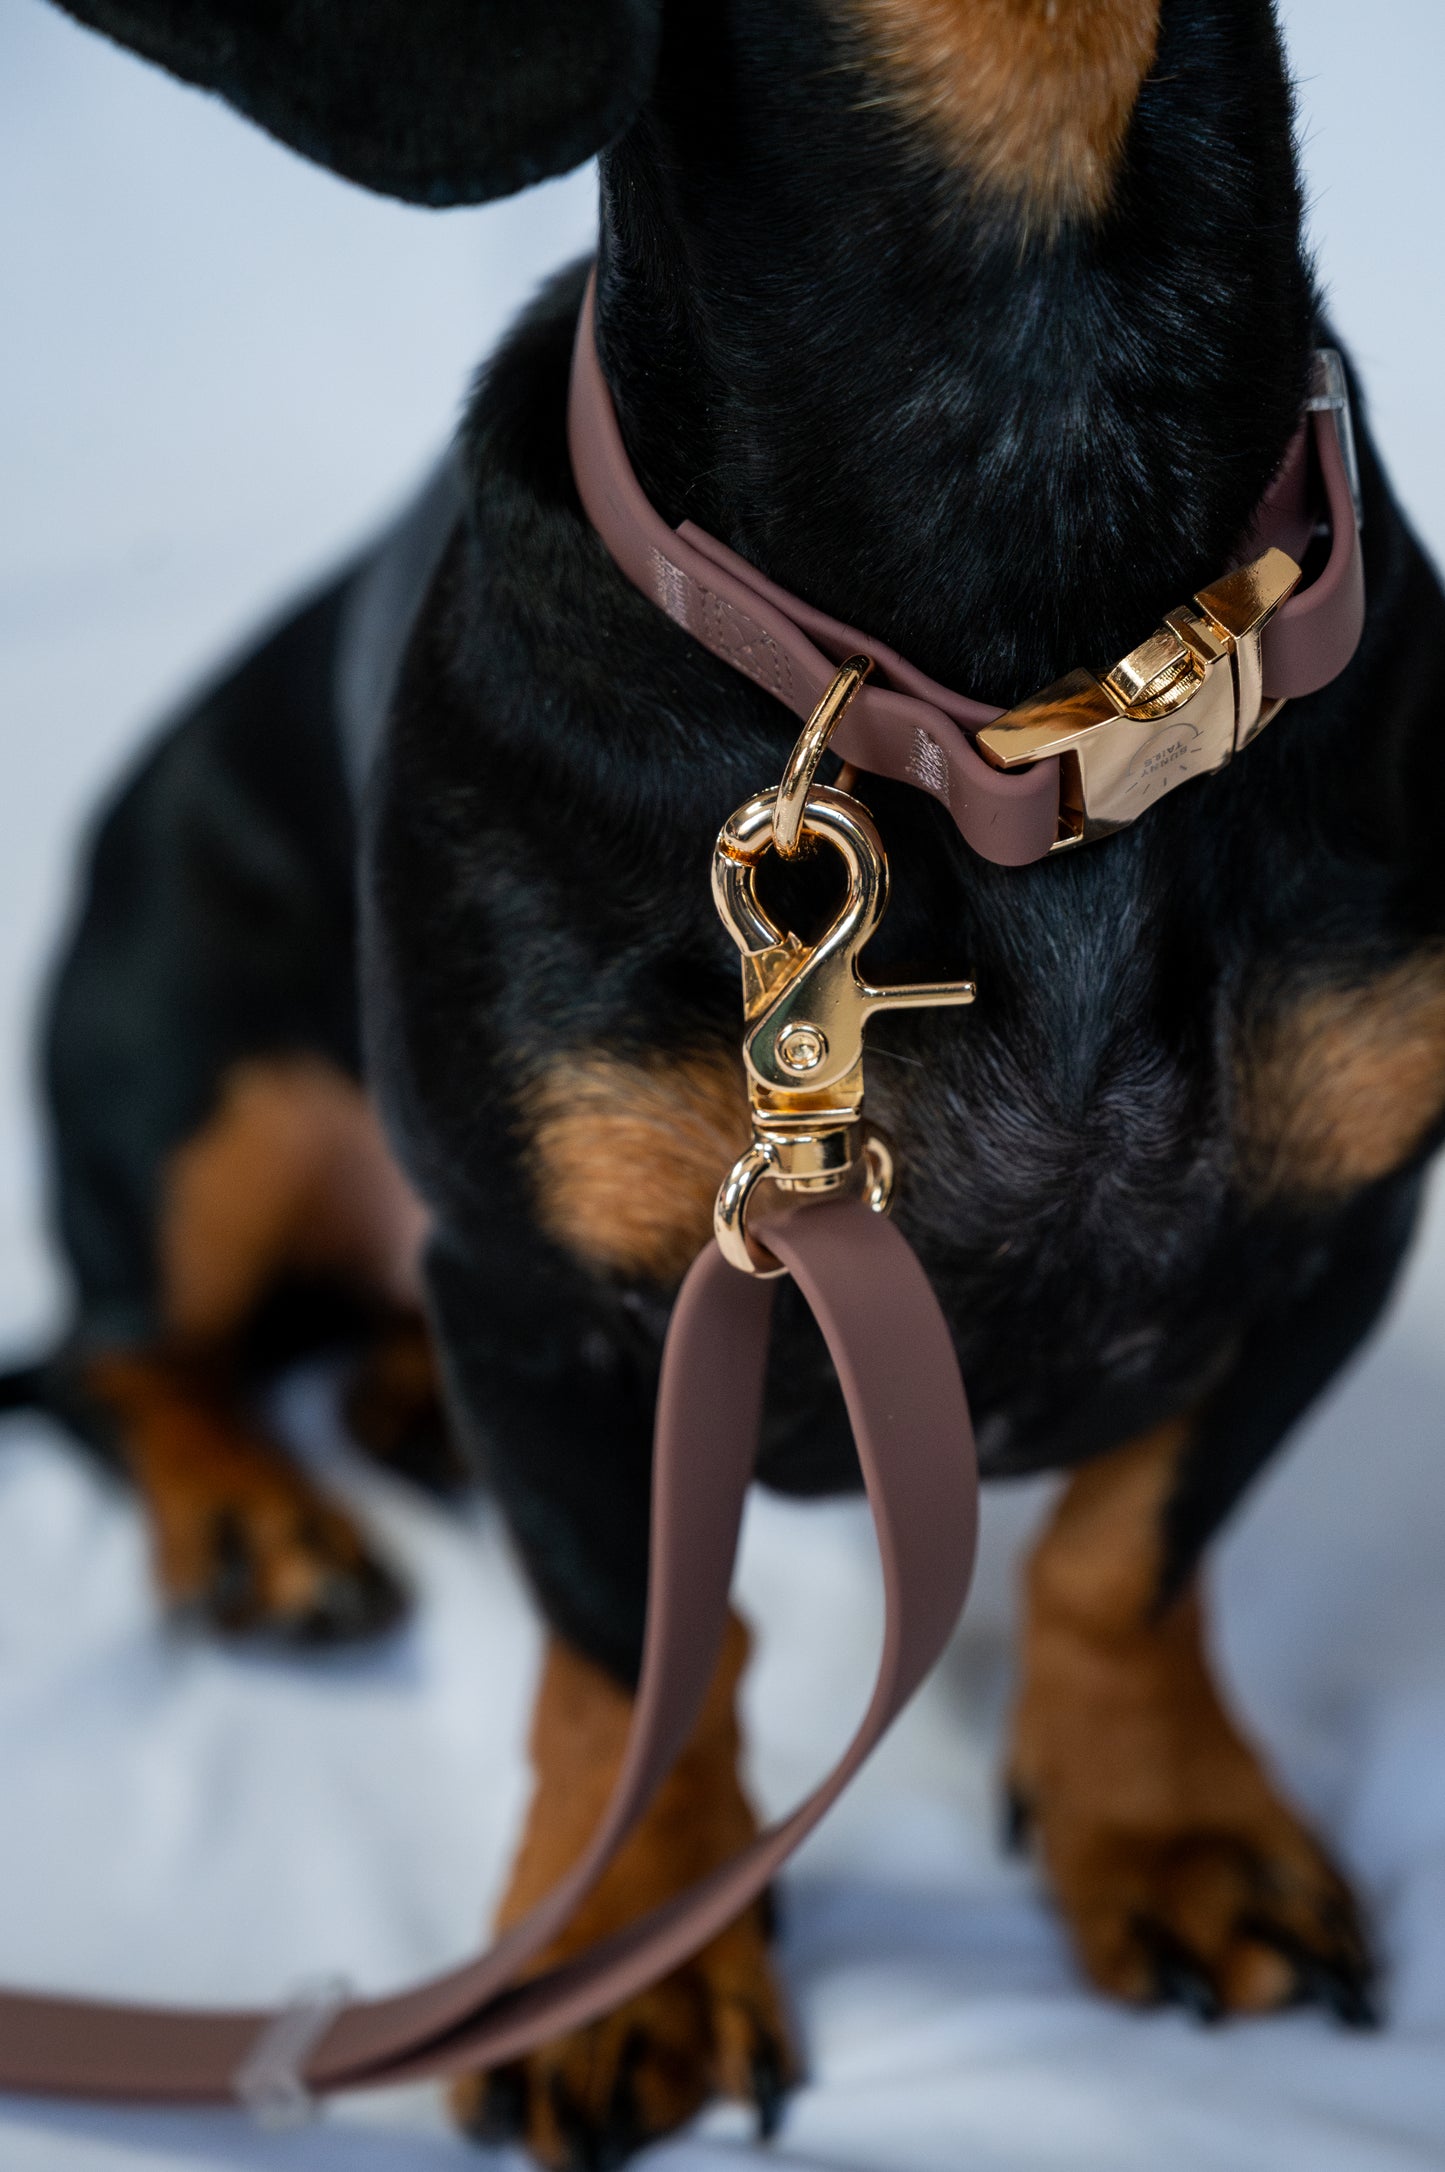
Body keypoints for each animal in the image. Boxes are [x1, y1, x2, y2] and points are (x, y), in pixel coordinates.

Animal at [19, 0, 1442, 2163]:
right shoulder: (536, 1296)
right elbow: (636, 1655)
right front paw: (625, 1961)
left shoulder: (1334, 1236)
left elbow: (1127, 1552)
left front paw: (1167, 1828)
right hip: (202, 1084)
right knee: (116, 1355)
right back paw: (258, 1525)